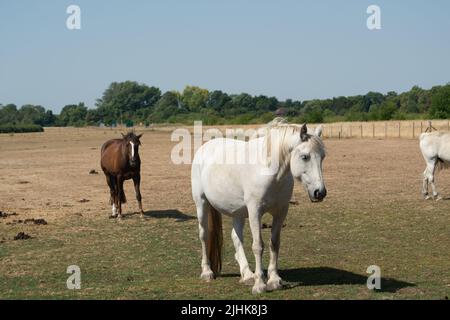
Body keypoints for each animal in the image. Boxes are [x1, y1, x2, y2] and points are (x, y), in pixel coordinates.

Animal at [191, 124, 326, 294]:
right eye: (305, 157)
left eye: (323, 157)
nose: (320, 192)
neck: (269, 172)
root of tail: (205, 147)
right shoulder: (255, 212)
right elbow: (258, 246)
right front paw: (260, 284)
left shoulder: (281, 212)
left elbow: (274, 243)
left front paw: (274, 280)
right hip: (202, 203)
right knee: (204, 235)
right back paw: (207, 272)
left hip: (238, 212)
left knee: (236, 237)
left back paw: (248, 275)